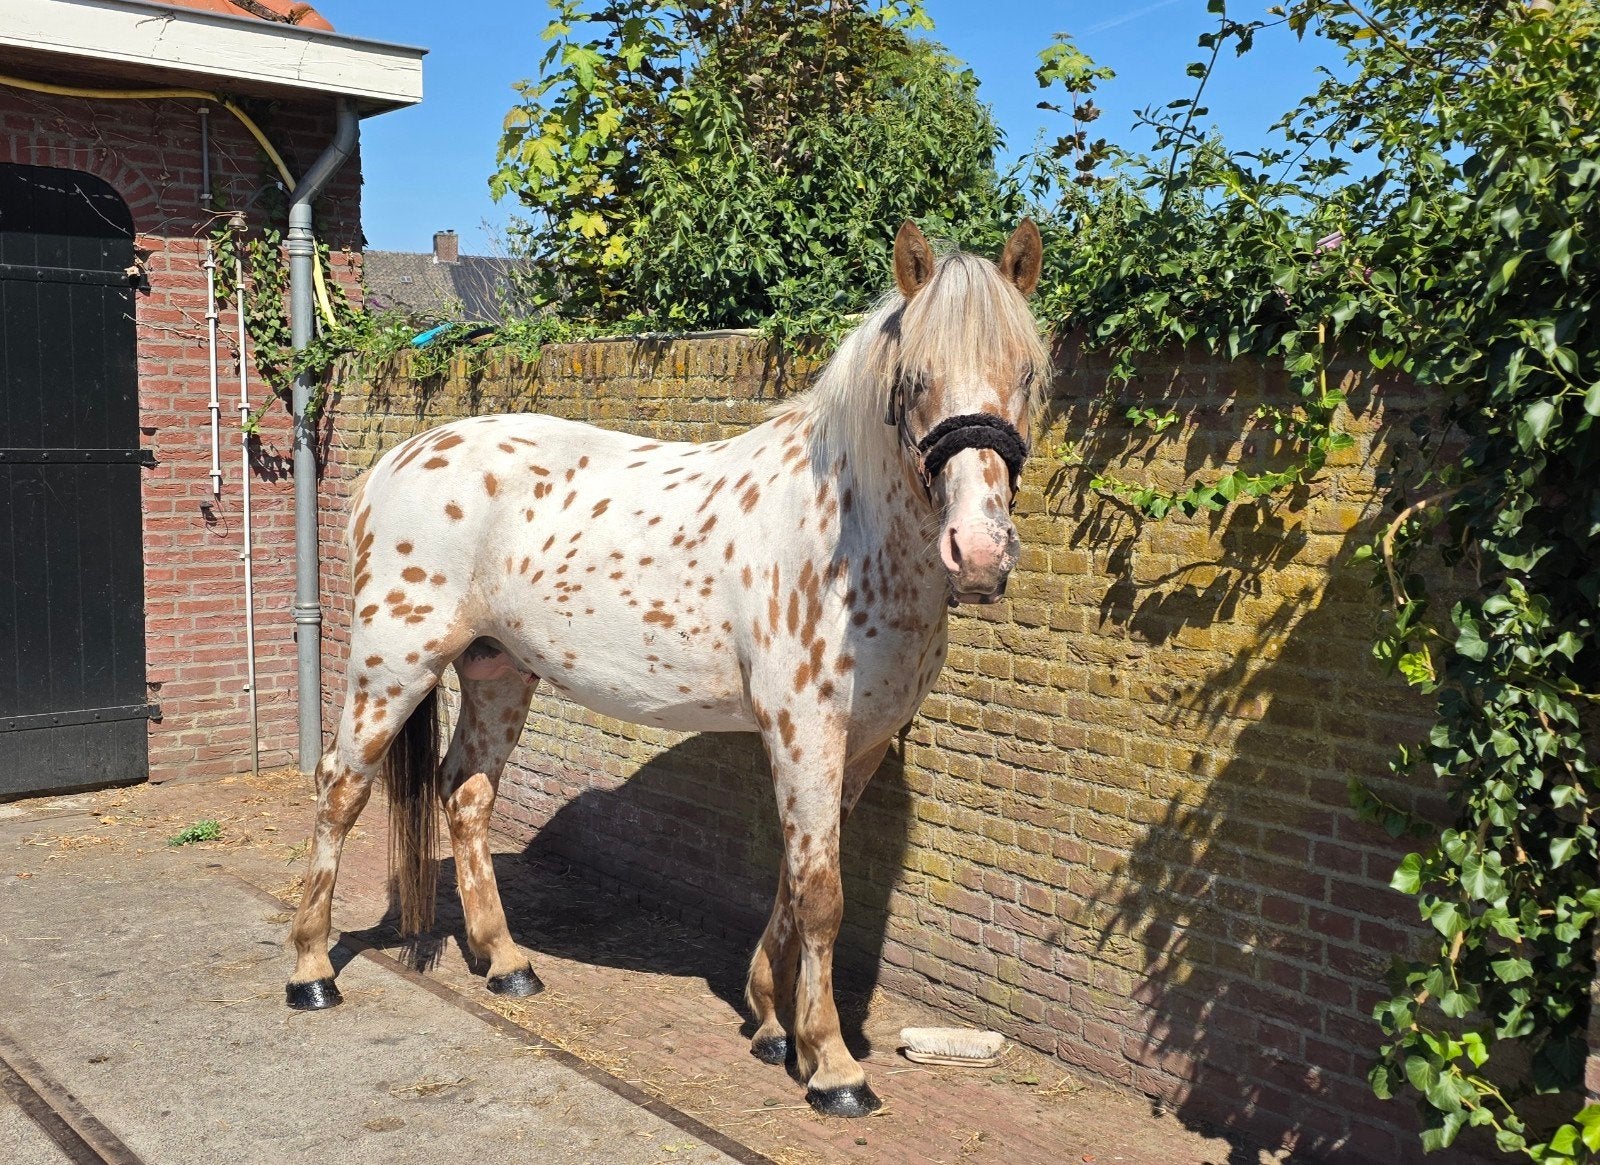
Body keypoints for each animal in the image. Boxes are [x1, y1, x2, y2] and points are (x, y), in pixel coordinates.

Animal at [285, 219, 1050, 1117]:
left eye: (1028, 374)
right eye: (915, 379)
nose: (980, 552)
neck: (848, 530)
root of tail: (398, 458)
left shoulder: (854, 745)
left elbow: (795, 877)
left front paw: (772, 1021)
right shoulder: (805, 731)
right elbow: (821, 894)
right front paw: (831, 1064)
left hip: (498, 673)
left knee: (465, 795)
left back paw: (506, 962)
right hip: (391, 666)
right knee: (340, 791)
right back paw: (310, 972)